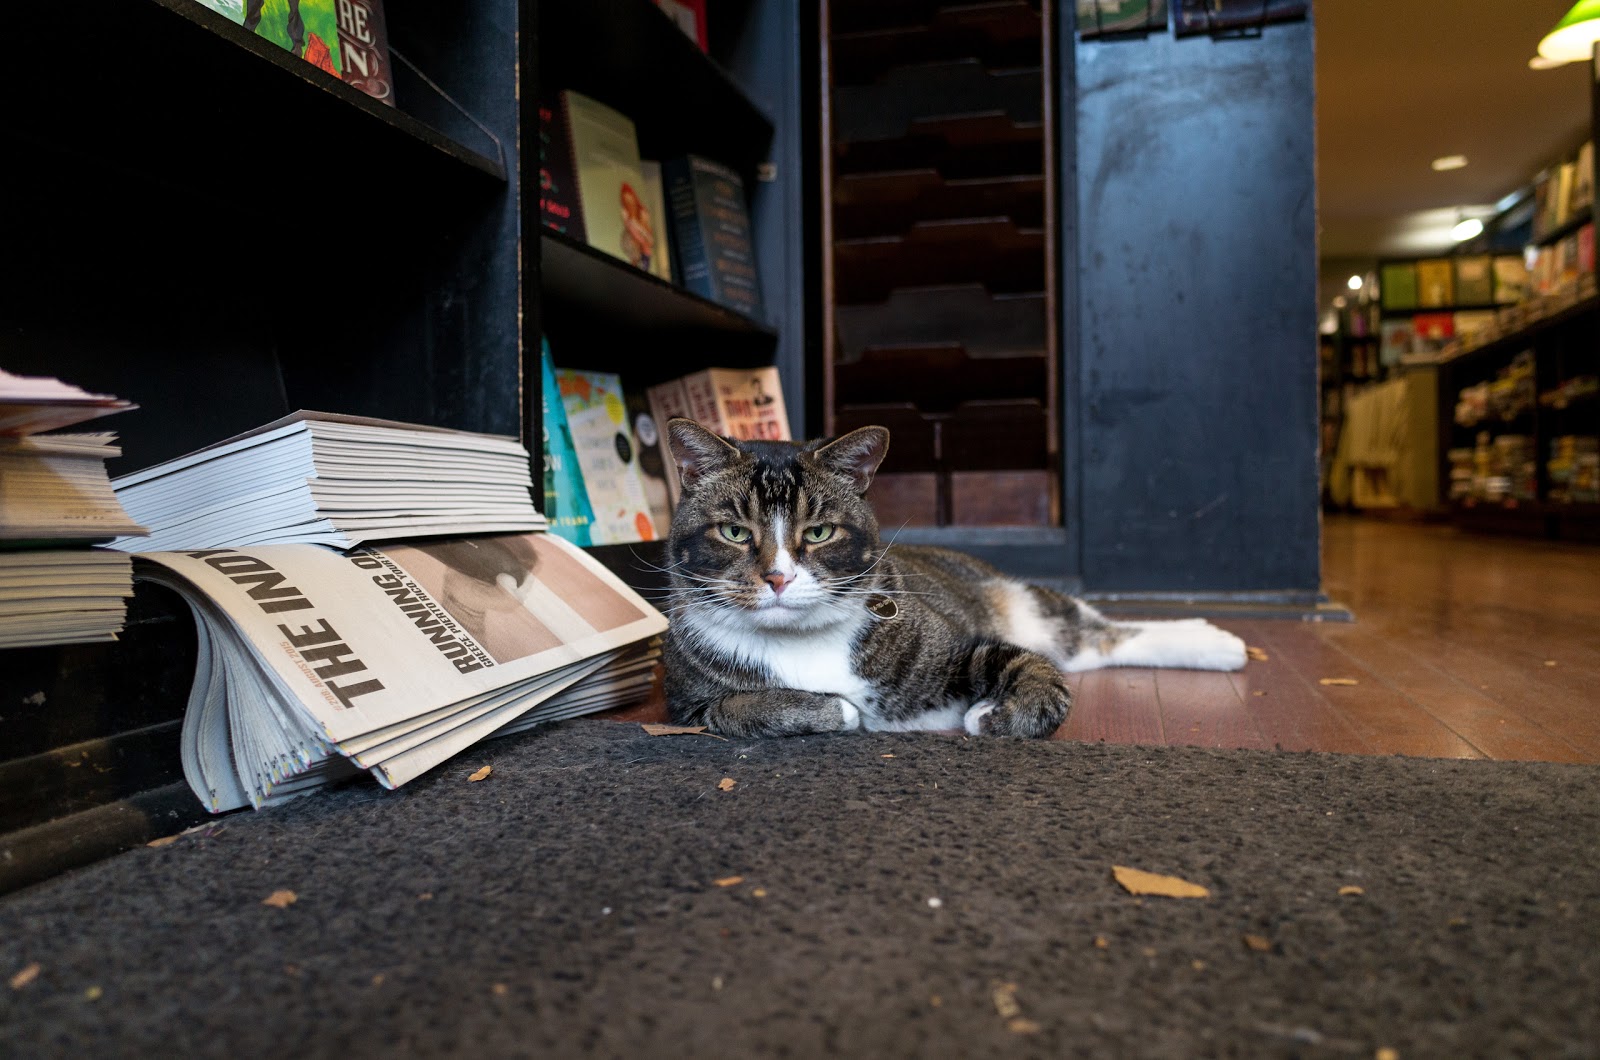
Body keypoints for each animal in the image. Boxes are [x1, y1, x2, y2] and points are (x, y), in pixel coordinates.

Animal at [662, 422, 1248, 739]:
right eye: (735, 532)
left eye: (821, 531)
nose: (779, 577)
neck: (800, 641)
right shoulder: (686, 708)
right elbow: (739, 708)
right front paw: (837, 709)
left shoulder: (962, 647)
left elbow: (1038, 676)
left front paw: (993, 715)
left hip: (1022, 604)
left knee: (1093, 633)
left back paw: (1219, 641)